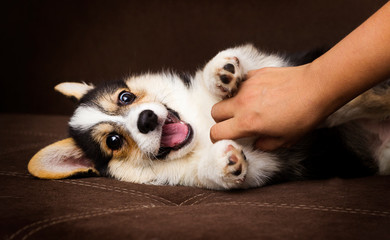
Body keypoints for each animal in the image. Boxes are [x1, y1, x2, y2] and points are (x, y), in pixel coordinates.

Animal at [29, 44, 390, 189]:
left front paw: (221, 72)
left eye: (125, 97)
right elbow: (225, 172)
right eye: (114, 141)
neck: (200, 128)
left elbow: (239, 65)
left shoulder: (274, 65)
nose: (146, 120)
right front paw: (222, 162)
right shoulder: (266, 166)